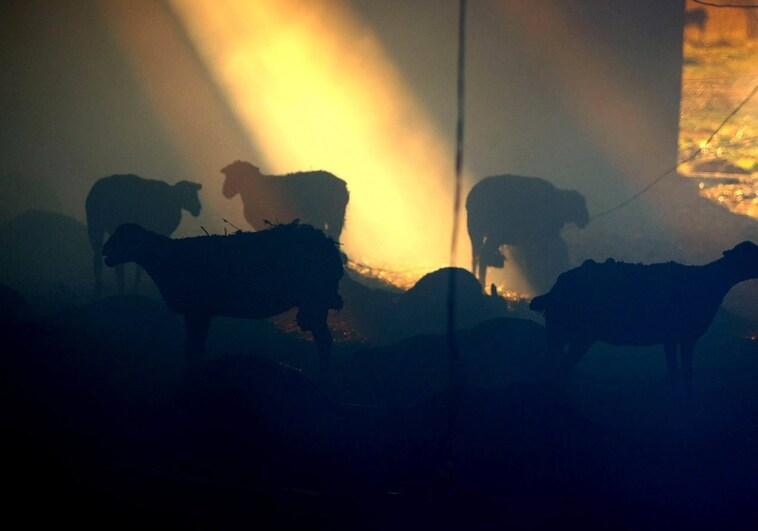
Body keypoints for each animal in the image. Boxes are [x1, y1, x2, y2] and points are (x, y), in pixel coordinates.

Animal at [101, 222, 344, 380]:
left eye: (122, 238)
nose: (105, 250)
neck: (164, 259)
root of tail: (330, 247)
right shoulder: (202, 312)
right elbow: (196, 346)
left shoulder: (197, 311)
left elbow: (193, 347)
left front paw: (191, 374)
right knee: (324, 339)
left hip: (315, 299)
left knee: (325, 340)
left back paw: (322, 379)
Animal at [532, 242, 758, 390]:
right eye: (752, 253)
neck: (711, 281)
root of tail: (553, 290)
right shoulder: (684, 335)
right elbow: (684, 372)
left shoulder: (673, 337)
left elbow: (675, 371)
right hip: (563, 329)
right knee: (548, 364)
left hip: (574, 334)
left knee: (558, 365)